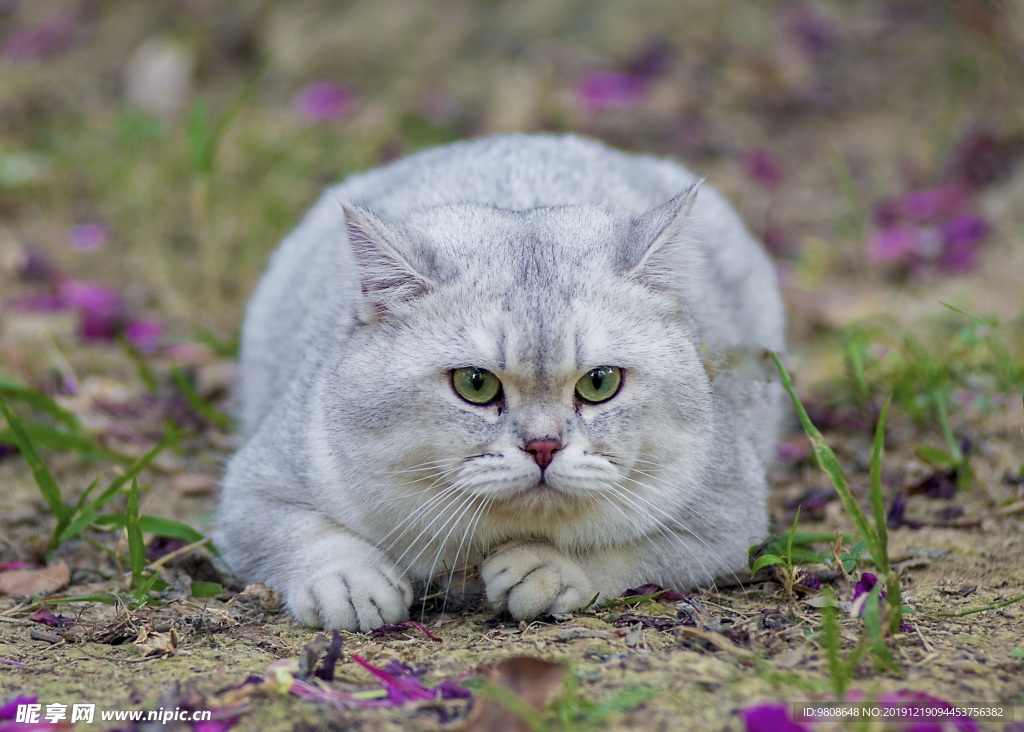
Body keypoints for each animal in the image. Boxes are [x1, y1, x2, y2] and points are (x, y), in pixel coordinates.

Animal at [220, 134, 786, 634]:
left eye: (600, 383)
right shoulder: (255, 484)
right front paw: (349, 582)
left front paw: (550, 565)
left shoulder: (728, 510)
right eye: (475, 384)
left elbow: (630, 549)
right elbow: (306, 532)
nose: (543, 447)